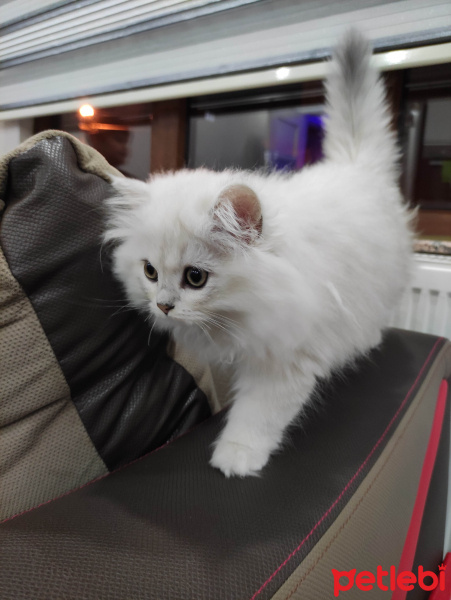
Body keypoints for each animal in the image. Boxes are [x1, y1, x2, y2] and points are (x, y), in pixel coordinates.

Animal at [105, 32, 414, 478]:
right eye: (149, 272)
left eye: (195, 278)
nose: (163, 306)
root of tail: (356, 166)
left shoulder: (285, 360)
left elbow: (257, 415)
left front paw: (235, 457)